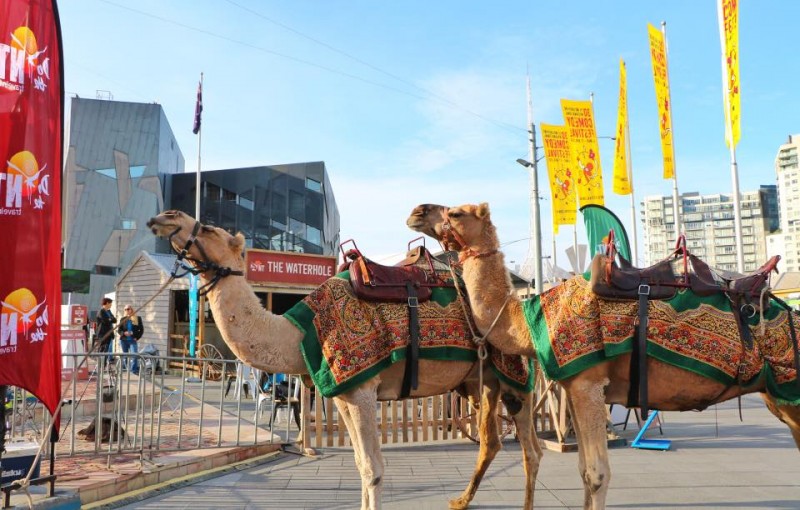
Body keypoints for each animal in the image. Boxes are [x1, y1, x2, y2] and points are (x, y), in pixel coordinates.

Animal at [146, 210, 540, 510]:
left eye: (210, 229)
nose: (165, 217)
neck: (298, 333)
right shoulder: (345, 394)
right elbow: (360, 464)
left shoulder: (363, 389)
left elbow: (373, 469)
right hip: (480, 382)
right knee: (492, 443)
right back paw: (459, 500)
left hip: (514, 376)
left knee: (531, 450)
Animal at [410, 202, 800, 510]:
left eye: (455, 213)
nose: (417, 212)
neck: (531, 318)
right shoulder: (573, 387)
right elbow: (584, 470)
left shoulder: (588, 384)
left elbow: (597, 474)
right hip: (778, 399)